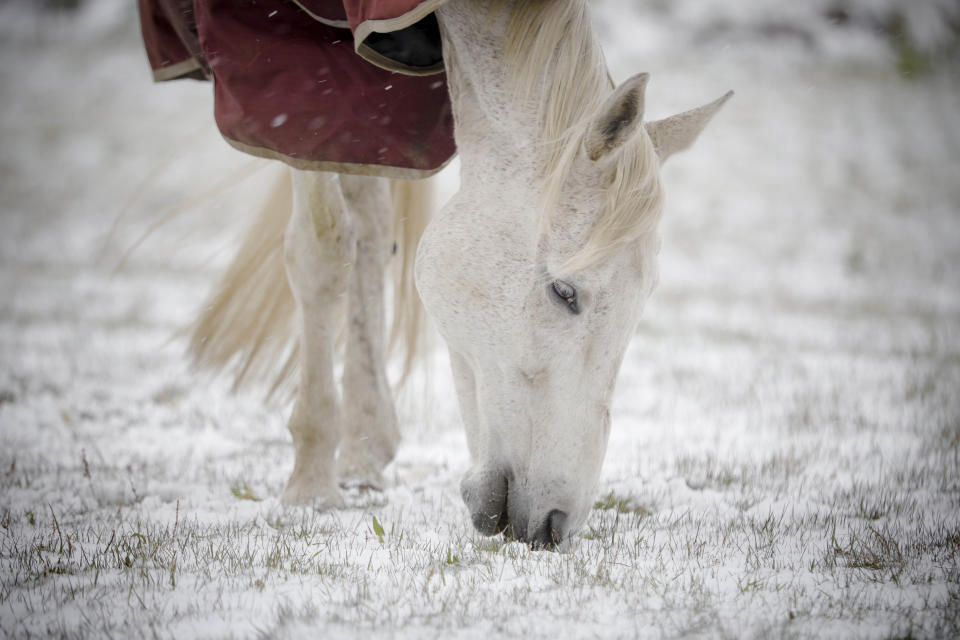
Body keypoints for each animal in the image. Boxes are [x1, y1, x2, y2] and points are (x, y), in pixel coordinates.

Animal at [186, 0, 728, 552]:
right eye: (564, 291)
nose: (557, 525)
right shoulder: (298, 85)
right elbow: (322, 250)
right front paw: (311, 484)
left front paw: (357, 450)